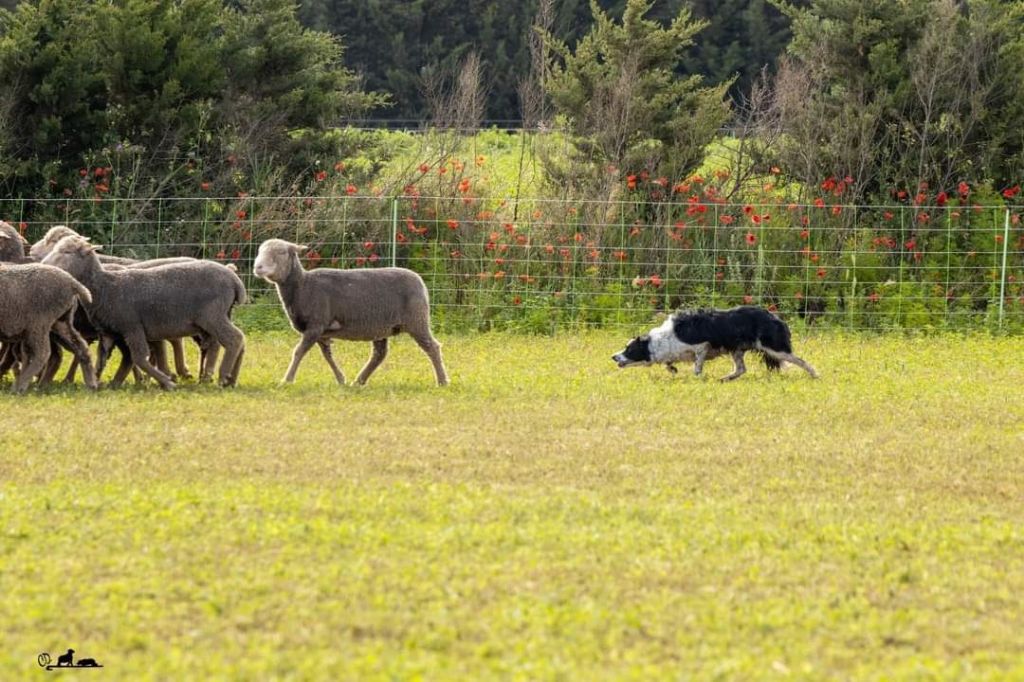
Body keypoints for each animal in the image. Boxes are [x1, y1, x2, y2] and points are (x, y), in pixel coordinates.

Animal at [0, 261, 97, 391]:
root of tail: (72, 282)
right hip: (60, 321)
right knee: (80, 346)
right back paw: (91, 384)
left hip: (39, 322)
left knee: (42, 353)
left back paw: (21, 385)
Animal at [42, 235, 247, 387]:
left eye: (67, 252)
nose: (45, 266)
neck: (105, 286)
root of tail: (234, 279)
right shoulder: (108, 332)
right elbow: (101, 359)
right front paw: (97, 381)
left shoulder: (132, 327)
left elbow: (139, 358)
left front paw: (167, 382)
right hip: (220, 316)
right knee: (239, 339)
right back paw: (231, 379)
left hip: (213, 316)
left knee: (233, 339)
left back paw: (222, 376)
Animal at [251, 237, 448, 387]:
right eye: (260, 250)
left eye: (282, 252)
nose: (257, 267)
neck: (303, 286)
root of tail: (421, 283)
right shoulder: (321, 331)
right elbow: (327, 355)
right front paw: (341, 379)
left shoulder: (316, 325)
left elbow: (298, 352)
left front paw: (286, 380)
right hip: (380, 326)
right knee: (379, 354)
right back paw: (358, 381)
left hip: (417, 320)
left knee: (432, 347)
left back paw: (442, 381)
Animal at [610, 305, 819, 378]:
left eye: (629, 350)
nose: (613, 357)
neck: (664, 339)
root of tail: (776, 317)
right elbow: (670, 364)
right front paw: (673, 369)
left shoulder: (702, 346)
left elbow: (697, 367)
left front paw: (697, 377)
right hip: (737, 350)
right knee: (741, 369)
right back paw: (725, 378)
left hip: (774, 348)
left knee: (801, 361)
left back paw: (815, 375)